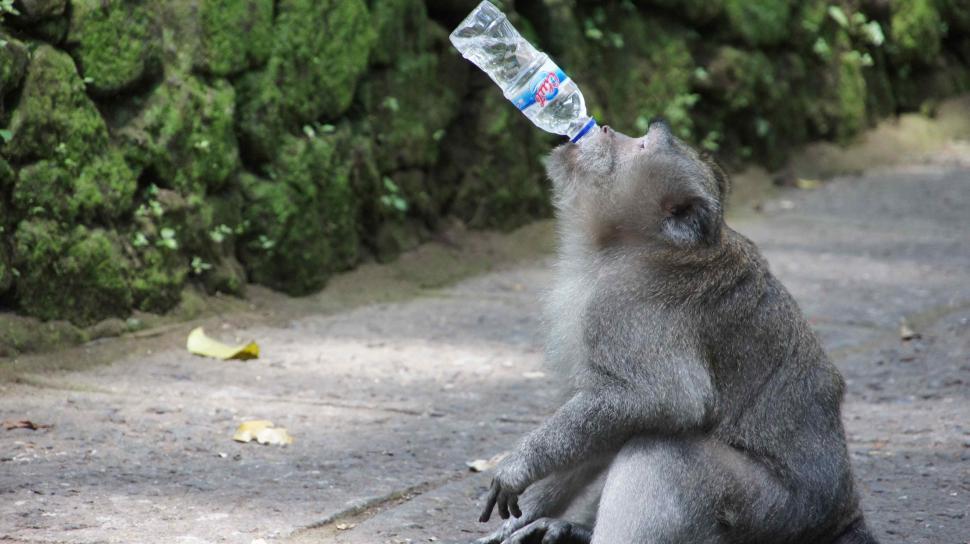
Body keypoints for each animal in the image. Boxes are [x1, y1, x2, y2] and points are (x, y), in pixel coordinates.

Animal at [473, 120, 879, 544]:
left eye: (641, 145)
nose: (603, 127)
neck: (634, 244)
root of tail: (842, 516)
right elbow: (612, 429)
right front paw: (527, 514)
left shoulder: (629, 306)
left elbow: (664, 399)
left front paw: (519, 466)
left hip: (772, 513)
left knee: (668, 453)